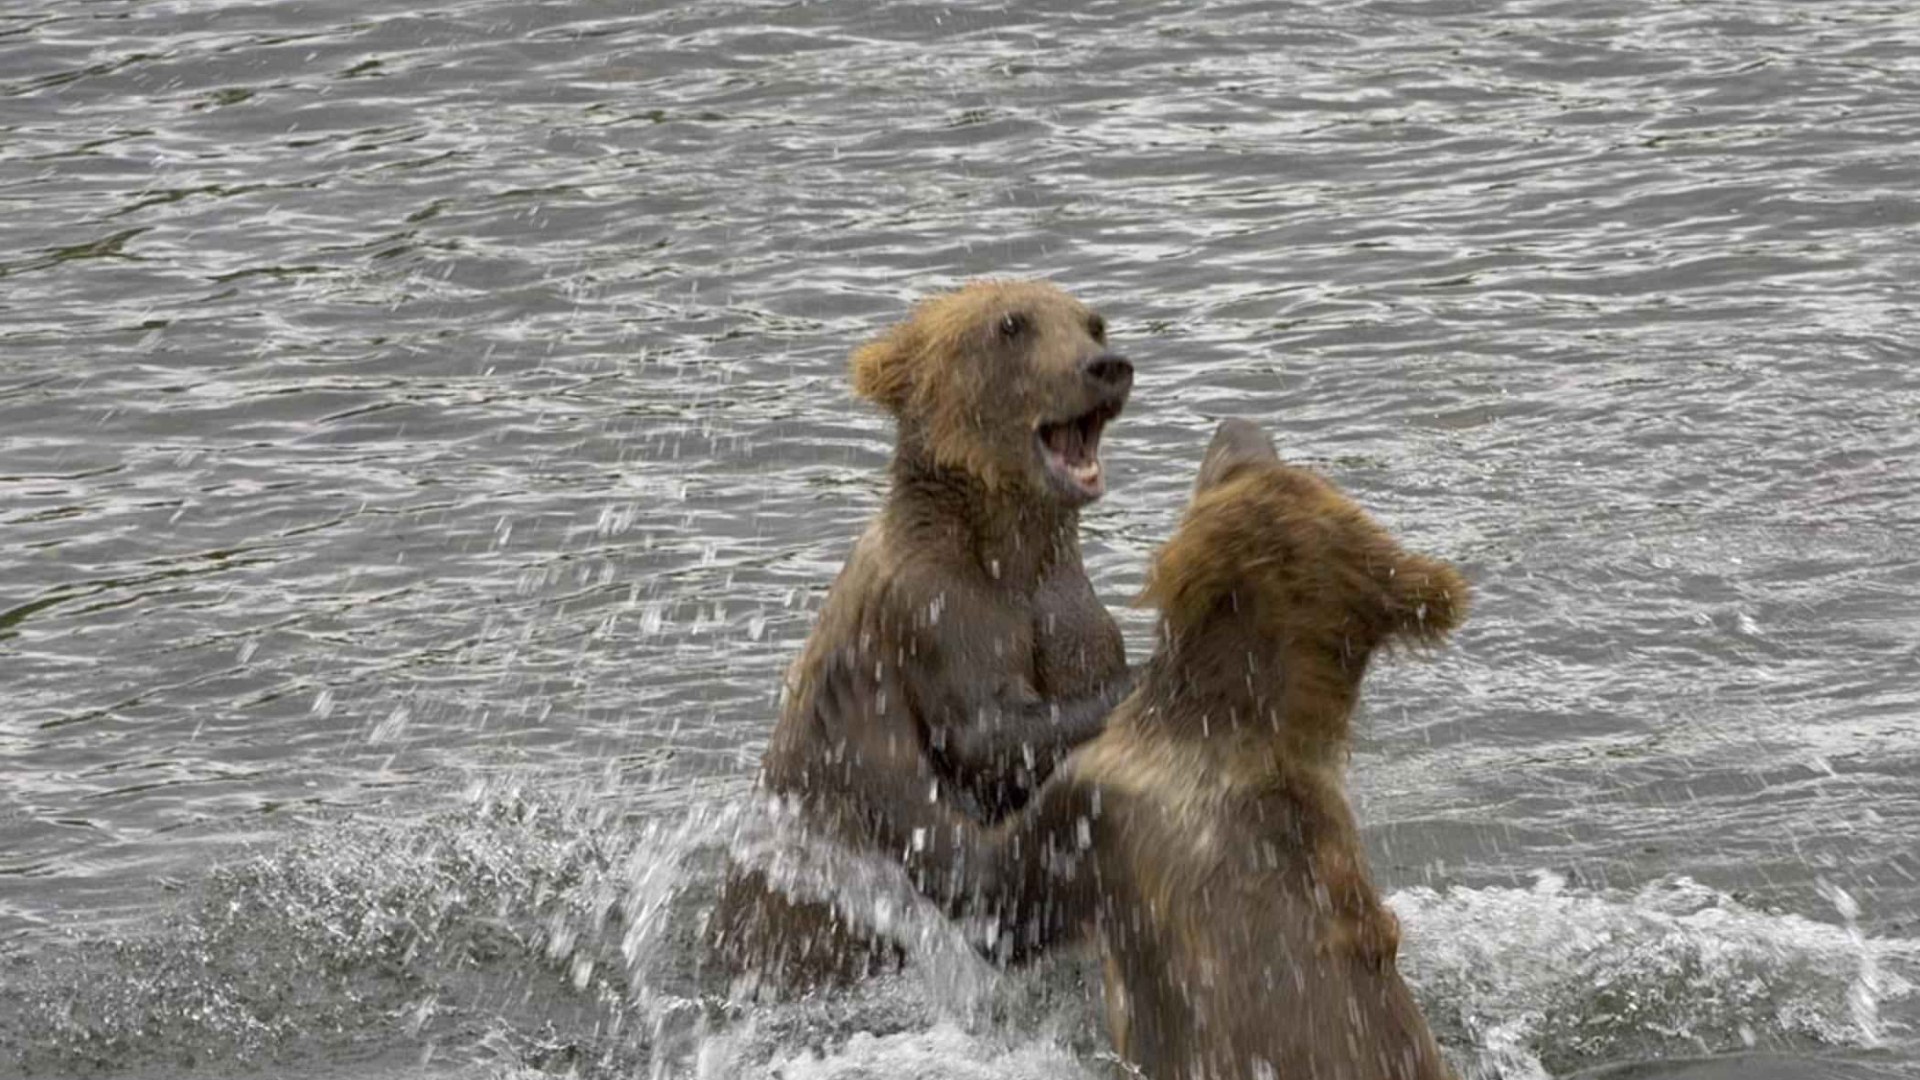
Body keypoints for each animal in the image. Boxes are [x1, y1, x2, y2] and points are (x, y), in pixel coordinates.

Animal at [707, 280, 1138, 992]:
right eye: (1011, 325)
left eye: (1093, 322)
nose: (1106, 366)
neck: (1008, 552)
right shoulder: (933, 612)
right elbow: (986, 732)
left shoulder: (1066, 612)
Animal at [812, 418, 1468, 1079]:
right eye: (1273, 463)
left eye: (1236, 469)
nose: (1238, 423)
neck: (1228, 725)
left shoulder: (1099, 810)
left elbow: (990, 897)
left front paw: (858, 709)